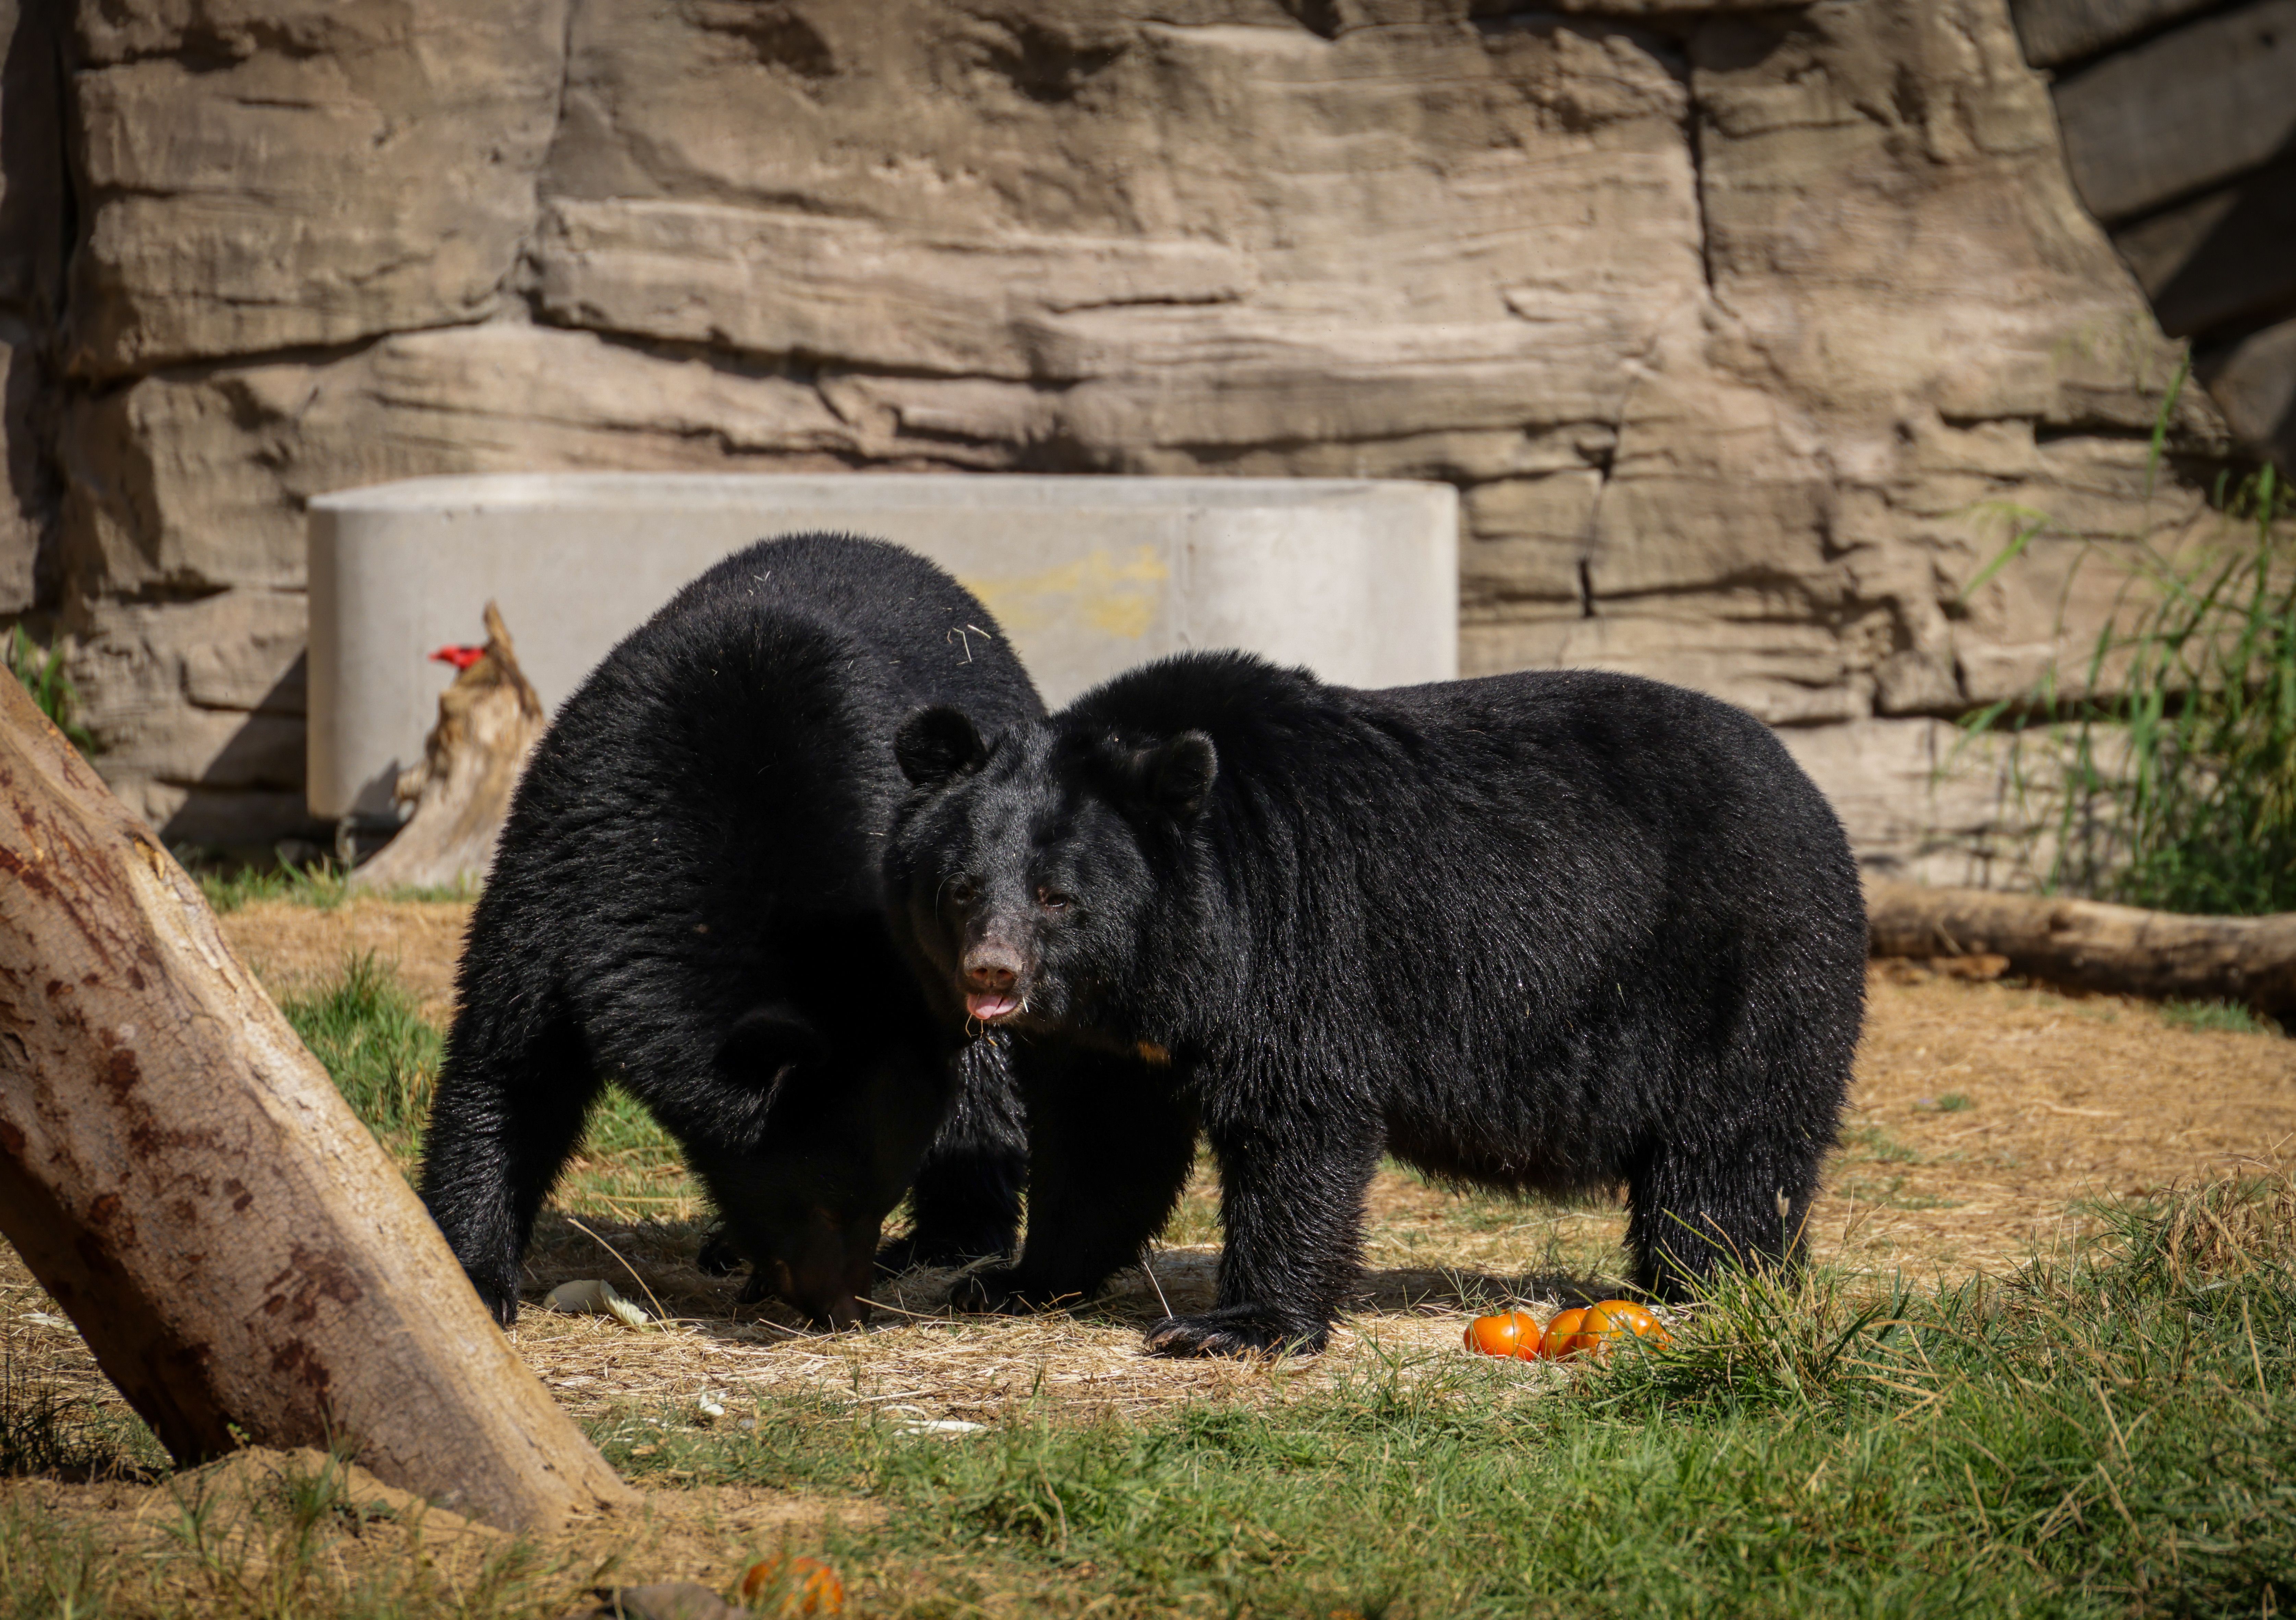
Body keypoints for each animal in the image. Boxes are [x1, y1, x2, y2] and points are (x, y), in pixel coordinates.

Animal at [418, 533, 1041, 1329]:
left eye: (876, 1200)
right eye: (819, 1201)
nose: (840, 1307)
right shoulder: (563, 865)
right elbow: (510, 1058)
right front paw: (473, 1273)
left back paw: (949, 1238)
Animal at [882, 651, 1867, 1356]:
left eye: (1057, 897)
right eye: (961, 887)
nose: (993, 973)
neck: (1166, 960)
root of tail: (1808, 789)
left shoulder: (1293, 928)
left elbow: (1296, 1113)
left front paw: (1230, 1326)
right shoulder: (1109, 1034)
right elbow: (1100, 1139)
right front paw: (1013, 1278)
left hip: (1743, 966)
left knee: (1729, 1148)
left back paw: (1708, 1281)